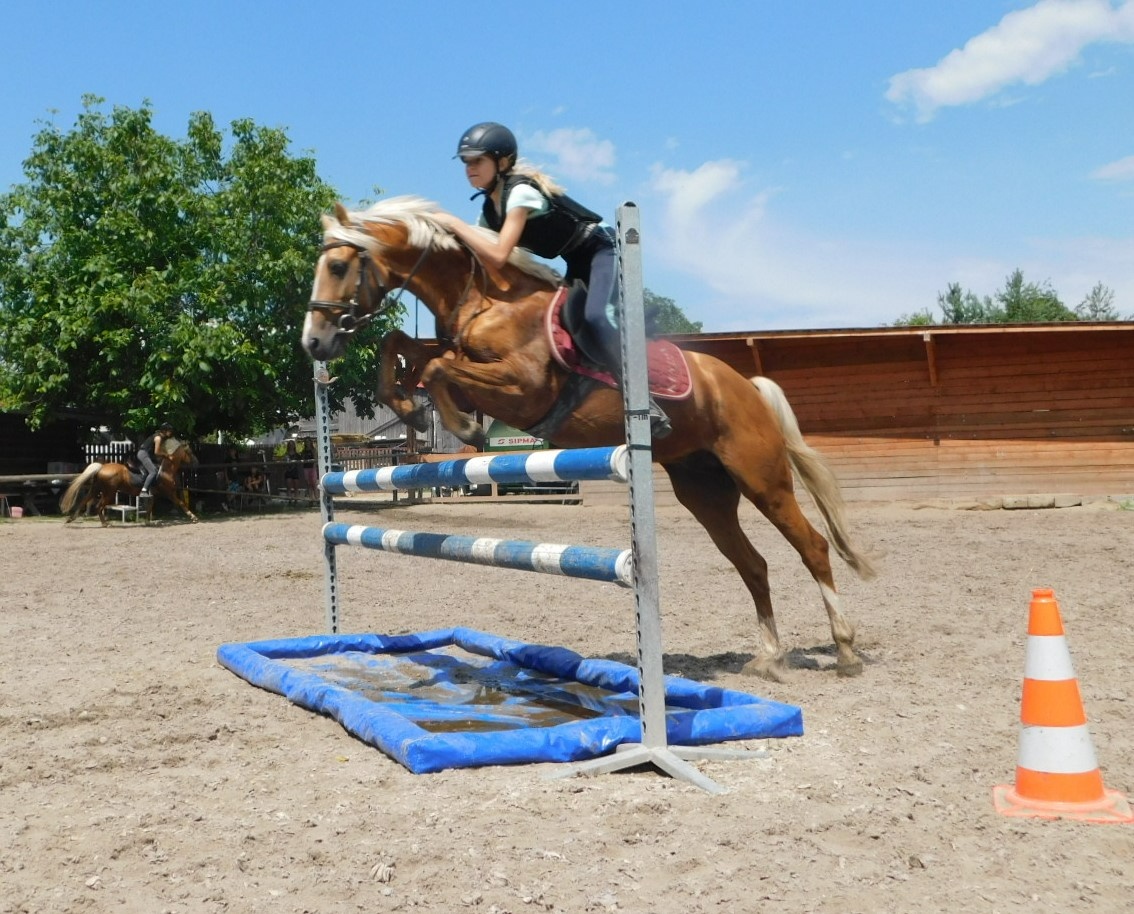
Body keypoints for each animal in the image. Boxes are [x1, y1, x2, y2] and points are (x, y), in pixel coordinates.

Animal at [60, 439, 200, 526]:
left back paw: (71, 519)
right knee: (98, 506)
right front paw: (194, 518)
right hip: (109, 493)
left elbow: (149, 507)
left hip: (96, 489)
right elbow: (181, 503)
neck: (165, 470)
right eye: (189, 452)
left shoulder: (154, 494)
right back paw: (105, 524)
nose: (196, 462)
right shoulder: (169, 492)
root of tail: (102, 467)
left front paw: (147, 522)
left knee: (84, 501)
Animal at [301, 197, 875, 680]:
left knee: (813, 546)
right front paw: (409, 409)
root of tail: (744, 386)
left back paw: (845, 650)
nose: (314, 343)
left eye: (337, 267)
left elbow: (437, 365)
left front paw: (460, 426)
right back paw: (769, 656)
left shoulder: (522, 387)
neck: (484, 298)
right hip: (704, 491)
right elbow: (402, 346)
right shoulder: (459, 357)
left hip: (761, 478)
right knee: (753, 564)